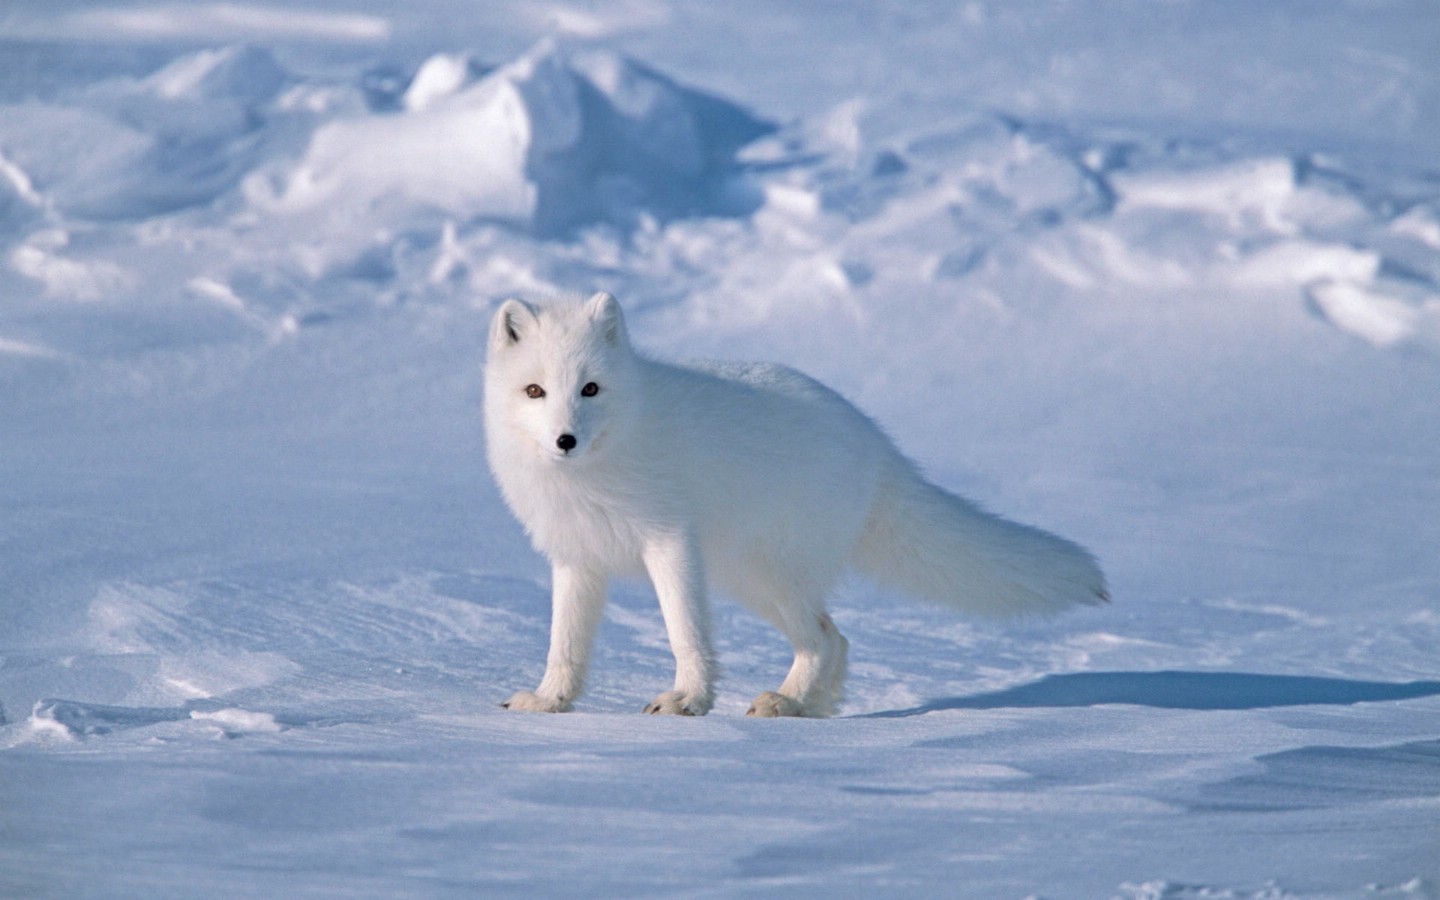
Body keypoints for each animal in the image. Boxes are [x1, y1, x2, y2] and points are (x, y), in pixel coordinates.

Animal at [489, 293, 1105, 717]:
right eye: (535, 391)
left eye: (591, 388)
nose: (565, 440)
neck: (598, 466)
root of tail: (876, 444)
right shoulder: (577, 557)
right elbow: (565, 643)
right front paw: (549, 701)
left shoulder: (669, 542)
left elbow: (685, 632)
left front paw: (687, 701)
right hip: (750, 579)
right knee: (837, 638)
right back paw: (807, 708)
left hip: (769, 574)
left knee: (824, 638)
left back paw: (786, 703)